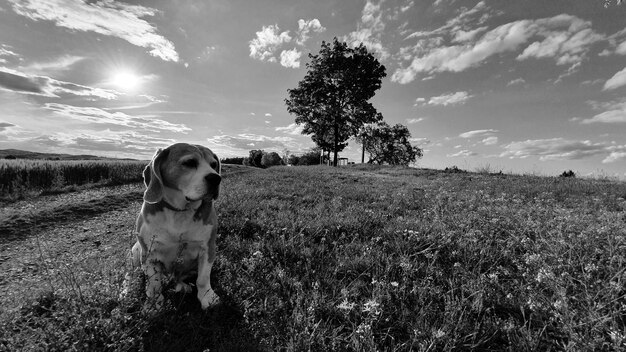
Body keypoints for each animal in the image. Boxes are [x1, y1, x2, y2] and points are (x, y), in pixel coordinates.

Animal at [129, 143, 222, 310]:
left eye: (213, 165)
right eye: (189, 162)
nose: (216, 178)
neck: (180, 210)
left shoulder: (208, 247)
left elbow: (203, 278)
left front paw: (208, 297)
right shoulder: (149, 254)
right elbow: (154, 284)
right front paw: (154, 304)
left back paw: (183, 286)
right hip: (136, 251)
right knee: (129, 276)